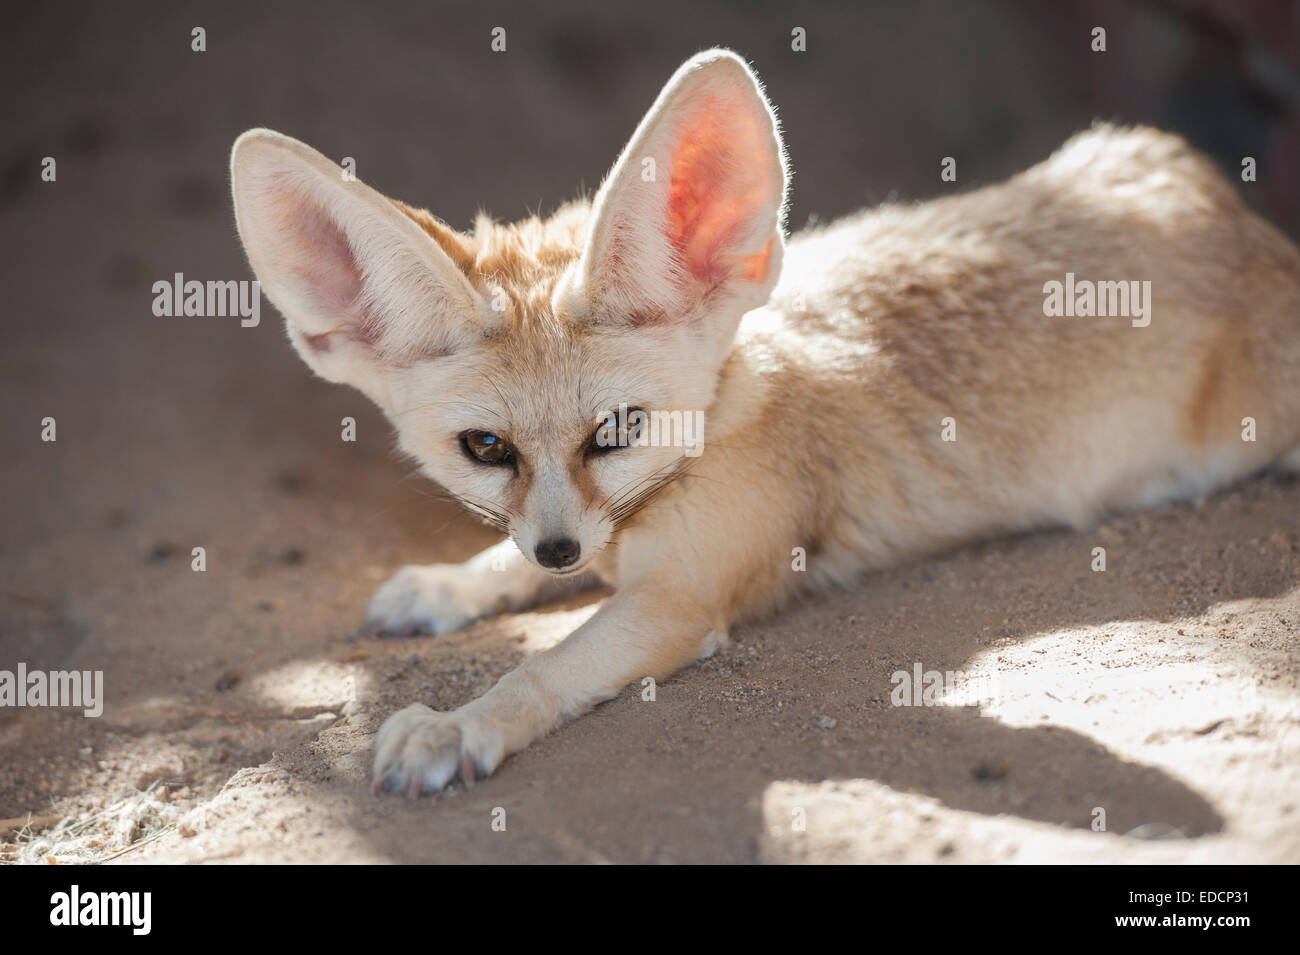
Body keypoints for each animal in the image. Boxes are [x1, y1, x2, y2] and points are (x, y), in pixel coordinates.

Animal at [228, 48, 1300, 795]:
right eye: (486, 449)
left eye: (617, 430)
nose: (562, 554)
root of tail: (1236, 217)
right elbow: (506, 561)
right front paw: (453, 583)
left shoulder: (679, 600)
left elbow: (548, 666)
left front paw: (460, 721)